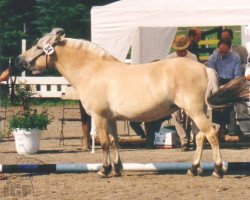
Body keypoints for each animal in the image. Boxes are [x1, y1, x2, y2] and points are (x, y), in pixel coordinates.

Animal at [16, 28, 249, 178]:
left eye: (38, 46)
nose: (19, 60)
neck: (93, 71)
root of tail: (203, 67)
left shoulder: (99, 117)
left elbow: (105, 142)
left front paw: (104, 170)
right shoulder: (110, 118)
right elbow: (115, 141)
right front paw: (117, 168)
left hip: (195, 111)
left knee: (211, 134)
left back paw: (218, 169)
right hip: (194, 112)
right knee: (201, 136)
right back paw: (193, 169)